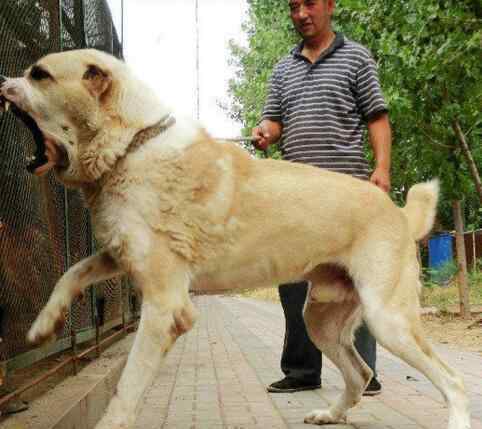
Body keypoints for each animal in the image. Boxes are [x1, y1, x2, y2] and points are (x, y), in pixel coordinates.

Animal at [0, 48, 468, 426]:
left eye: (39, 74)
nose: (2, 82)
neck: (132, 145)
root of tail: (400, 213)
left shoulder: (167, 306)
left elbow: (125, 391)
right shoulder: (121, 254)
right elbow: (72, 273)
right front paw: (44, 324)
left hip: (389, 320)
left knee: (452, 381)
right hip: (319, 319)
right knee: (361, 373)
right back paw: (329, 414)